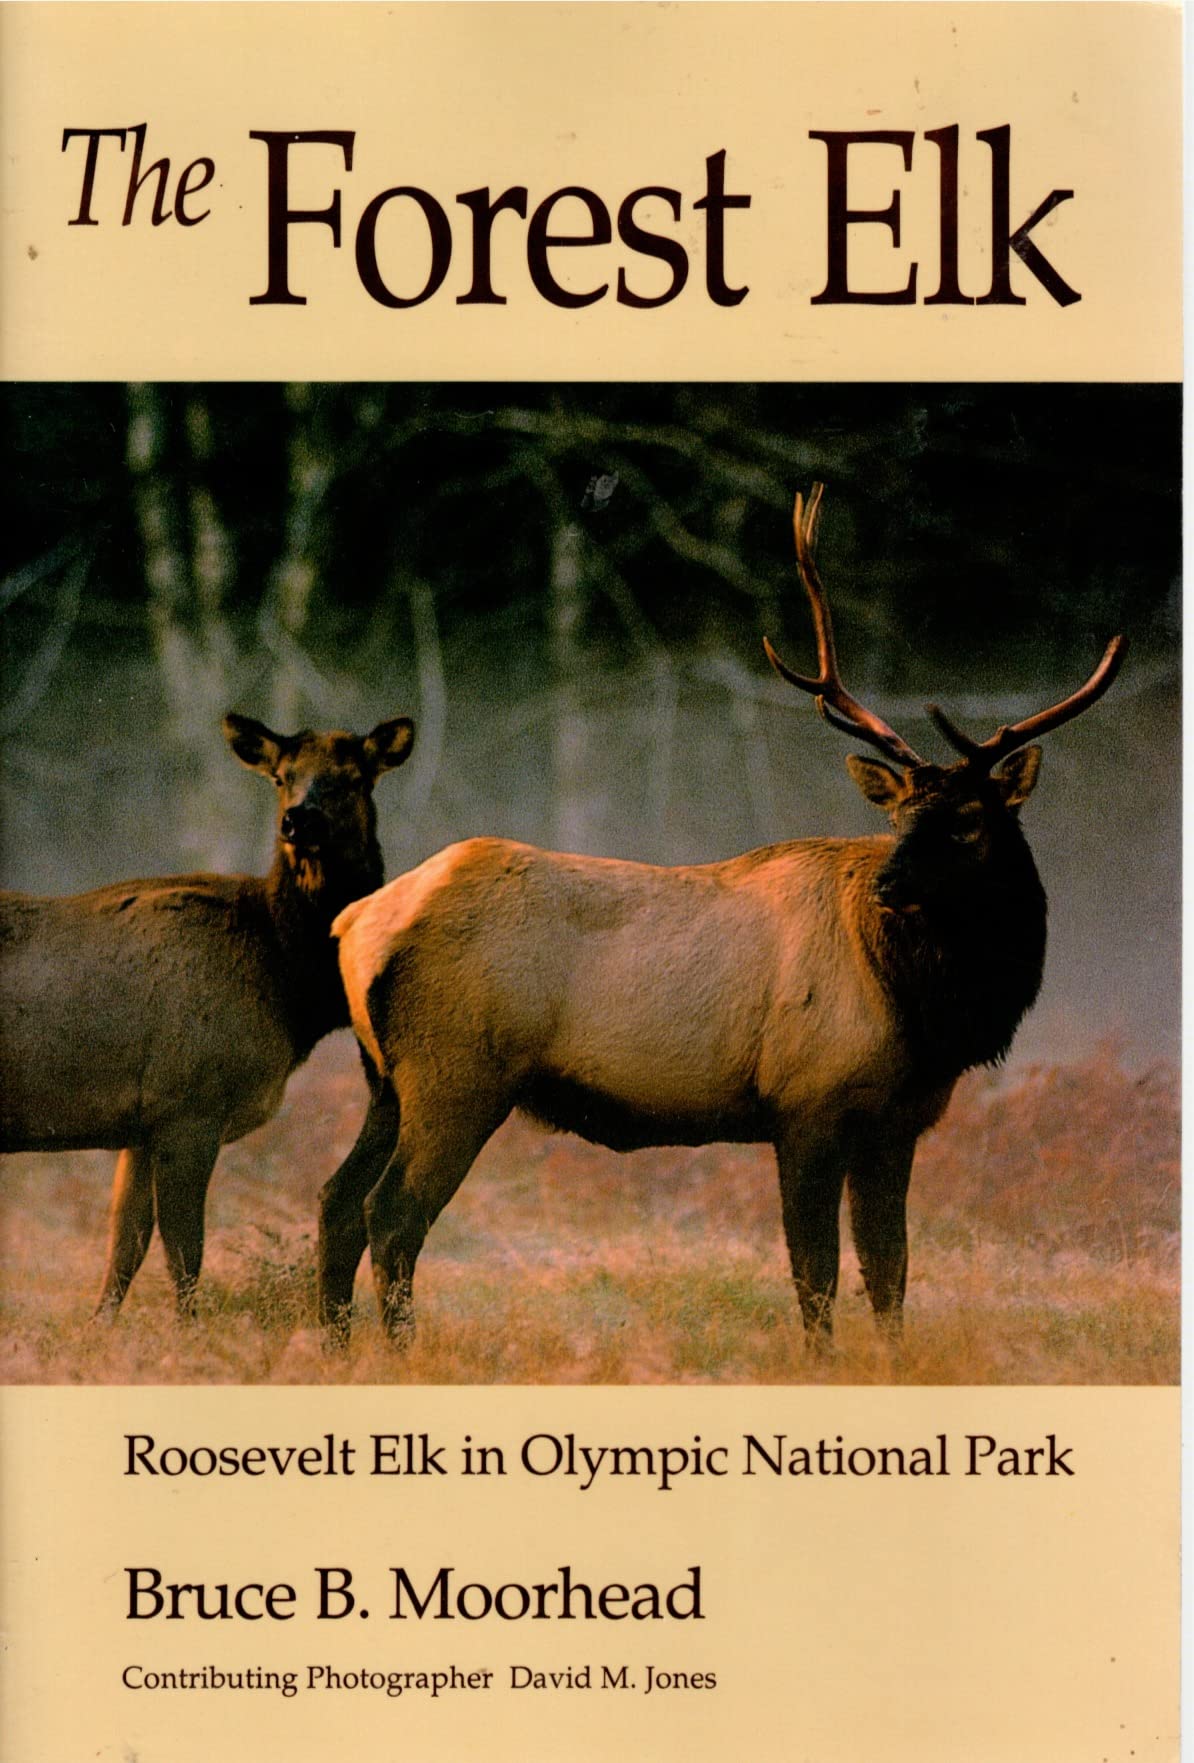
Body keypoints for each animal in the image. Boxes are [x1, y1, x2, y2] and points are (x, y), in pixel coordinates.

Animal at [0, 712, 414, 1319]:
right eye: (282, 777)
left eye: (354, 778)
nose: (298, 820)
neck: (290, 988)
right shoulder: (189, 1102)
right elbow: (184, 1253)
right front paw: (190, 1331)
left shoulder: (143, 1123)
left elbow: (124, 1248)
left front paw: (103, 1329)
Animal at [321, 484, 1125, 1352]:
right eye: (900, 815)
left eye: (970, 820)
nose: (890, 883)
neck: (925, 1010)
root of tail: (355, 923)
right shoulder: (808, 1100)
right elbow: (817, 1270)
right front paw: (821, 1363)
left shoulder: (897, 1121)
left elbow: (890, 1270)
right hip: (456, 1070)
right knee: (391, 1215)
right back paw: (400, 1350)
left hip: (385, 1079)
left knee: (336, 1203)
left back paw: (336, 1347)